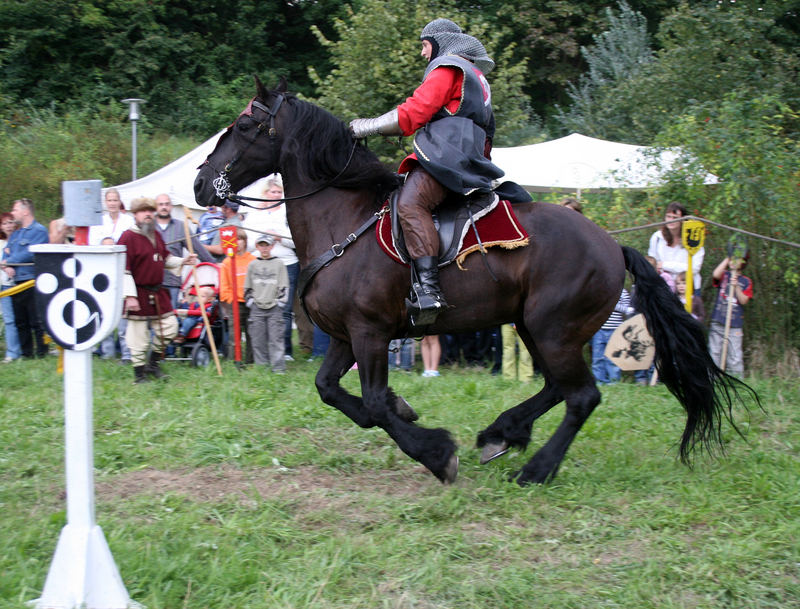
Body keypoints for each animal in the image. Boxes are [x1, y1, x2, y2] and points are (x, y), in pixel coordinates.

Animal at [194, 78, 756, 482]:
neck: (342, 218)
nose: (200, 184)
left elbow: (372, 403)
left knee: (581, 396)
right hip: (535, 327)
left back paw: (536, 468)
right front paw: (409, 413)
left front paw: (436, 452)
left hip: (554, 329)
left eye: (244, 123)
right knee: (557, 387)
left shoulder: (370, 332)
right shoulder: (345, 336)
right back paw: (503, 433)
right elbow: (332, 390)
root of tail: (611, 245)